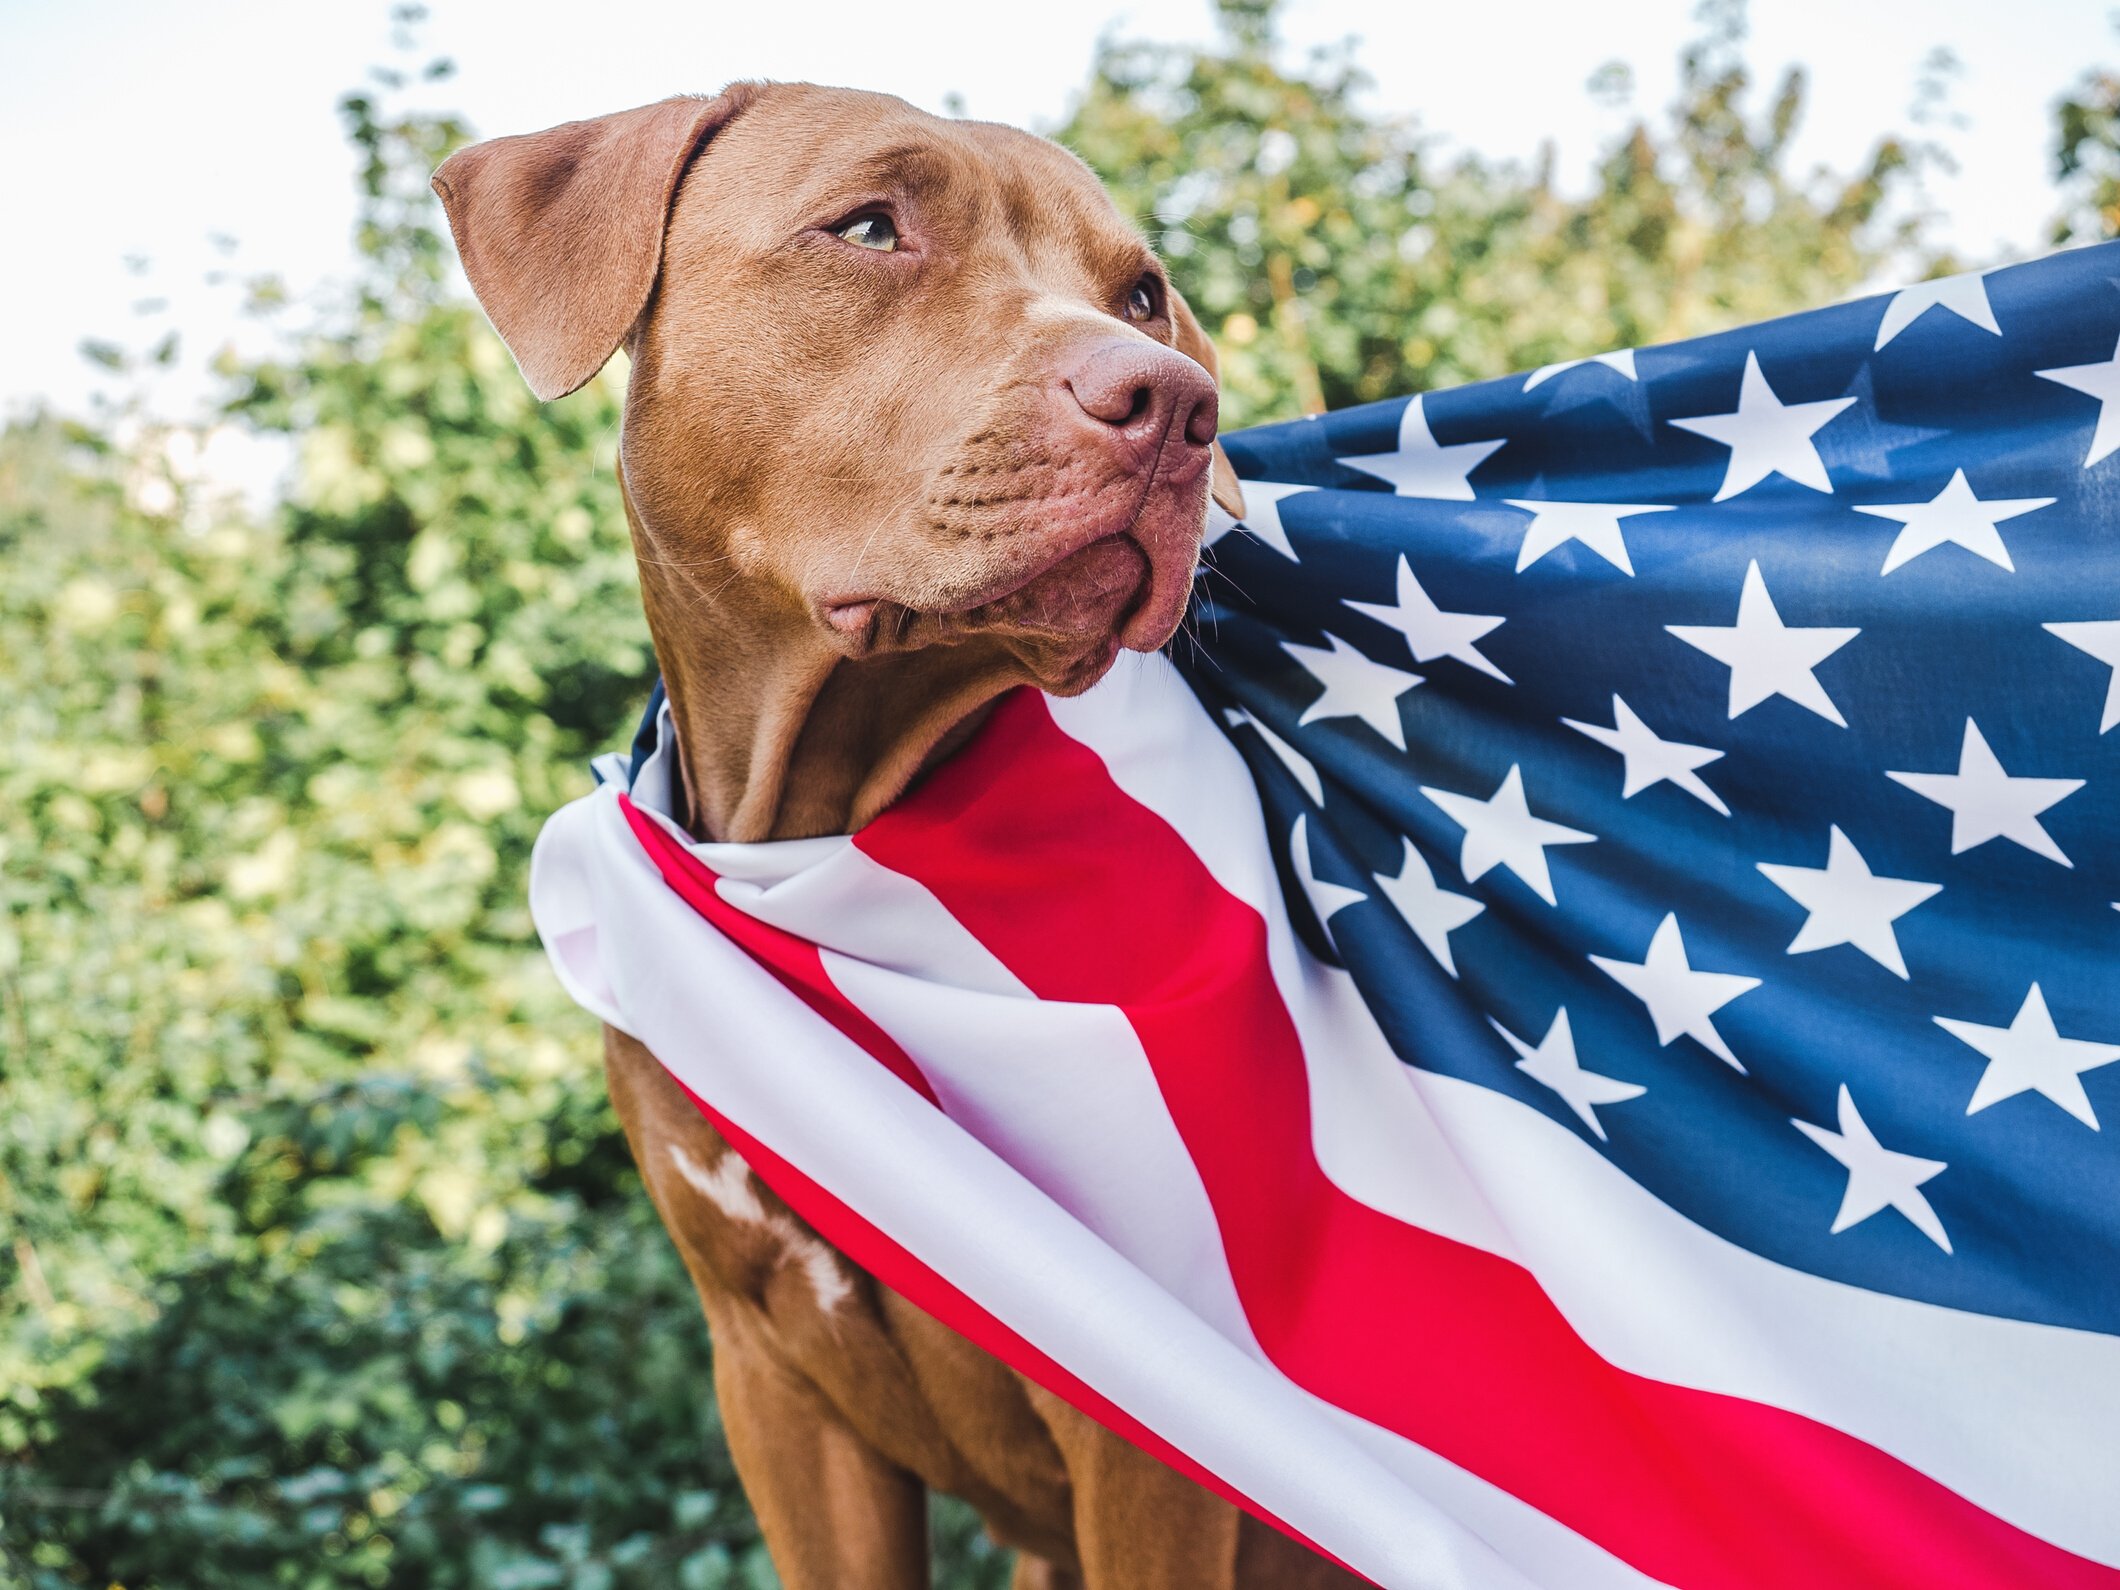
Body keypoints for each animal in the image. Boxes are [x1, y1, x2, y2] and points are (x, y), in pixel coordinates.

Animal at [434, 86, 1356, 1590]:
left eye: (1141, 294)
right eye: (870, 227)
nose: (1177, 405)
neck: (810, 838)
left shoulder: (1150, 1437)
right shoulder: (774, 1380)